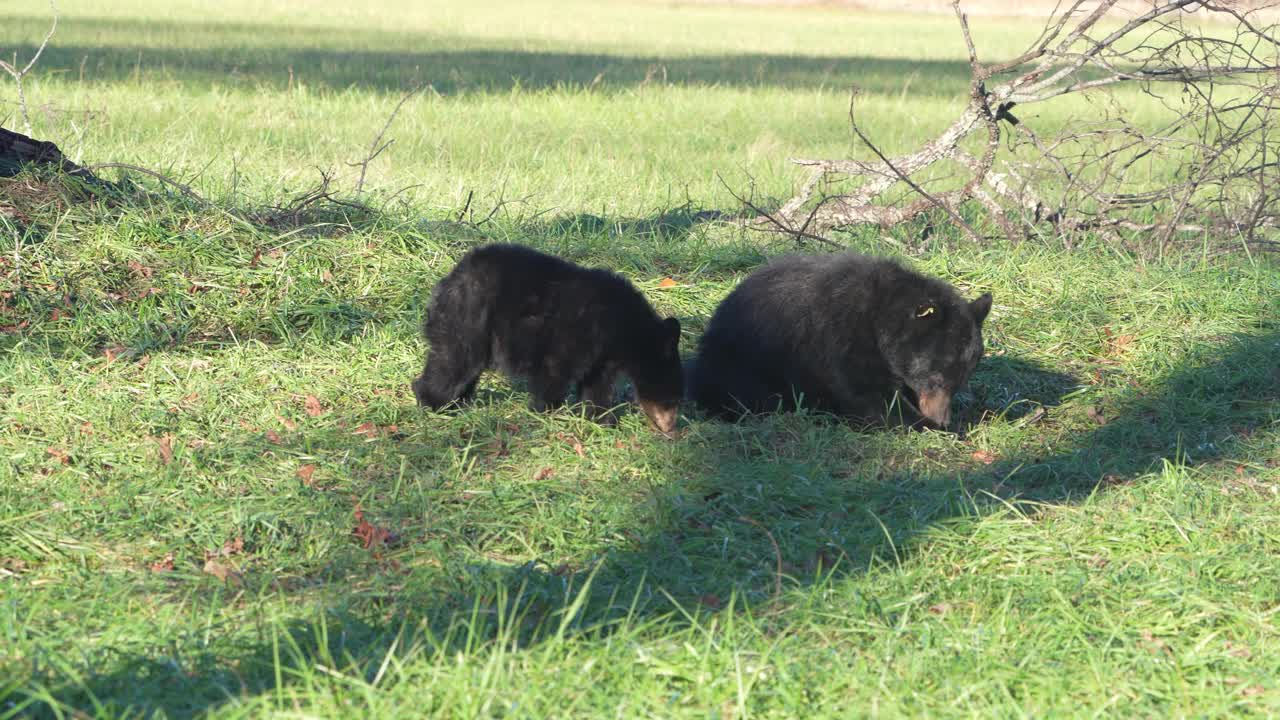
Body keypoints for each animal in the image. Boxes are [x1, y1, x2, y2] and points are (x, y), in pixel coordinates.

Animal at [414, 243, 686, 430]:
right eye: (673, 399)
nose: (670, 428)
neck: (622, 326)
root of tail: (449, 277)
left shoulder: (602, 356)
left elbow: (597, 385)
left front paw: (602, 419)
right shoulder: (576, 333)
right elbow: (555, 371)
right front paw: (547, 412)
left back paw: (459, 403)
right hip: (469, 316)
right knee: (454, 362)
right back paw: (432, 401)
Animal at [691, 252, 988, 427]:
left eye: (960, 381)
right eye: (934, 378)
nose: (943, 419)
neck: (878, 318)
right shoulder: (840, 338)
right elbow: (867, 394)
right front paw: (924, 423)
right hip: (741, 361)